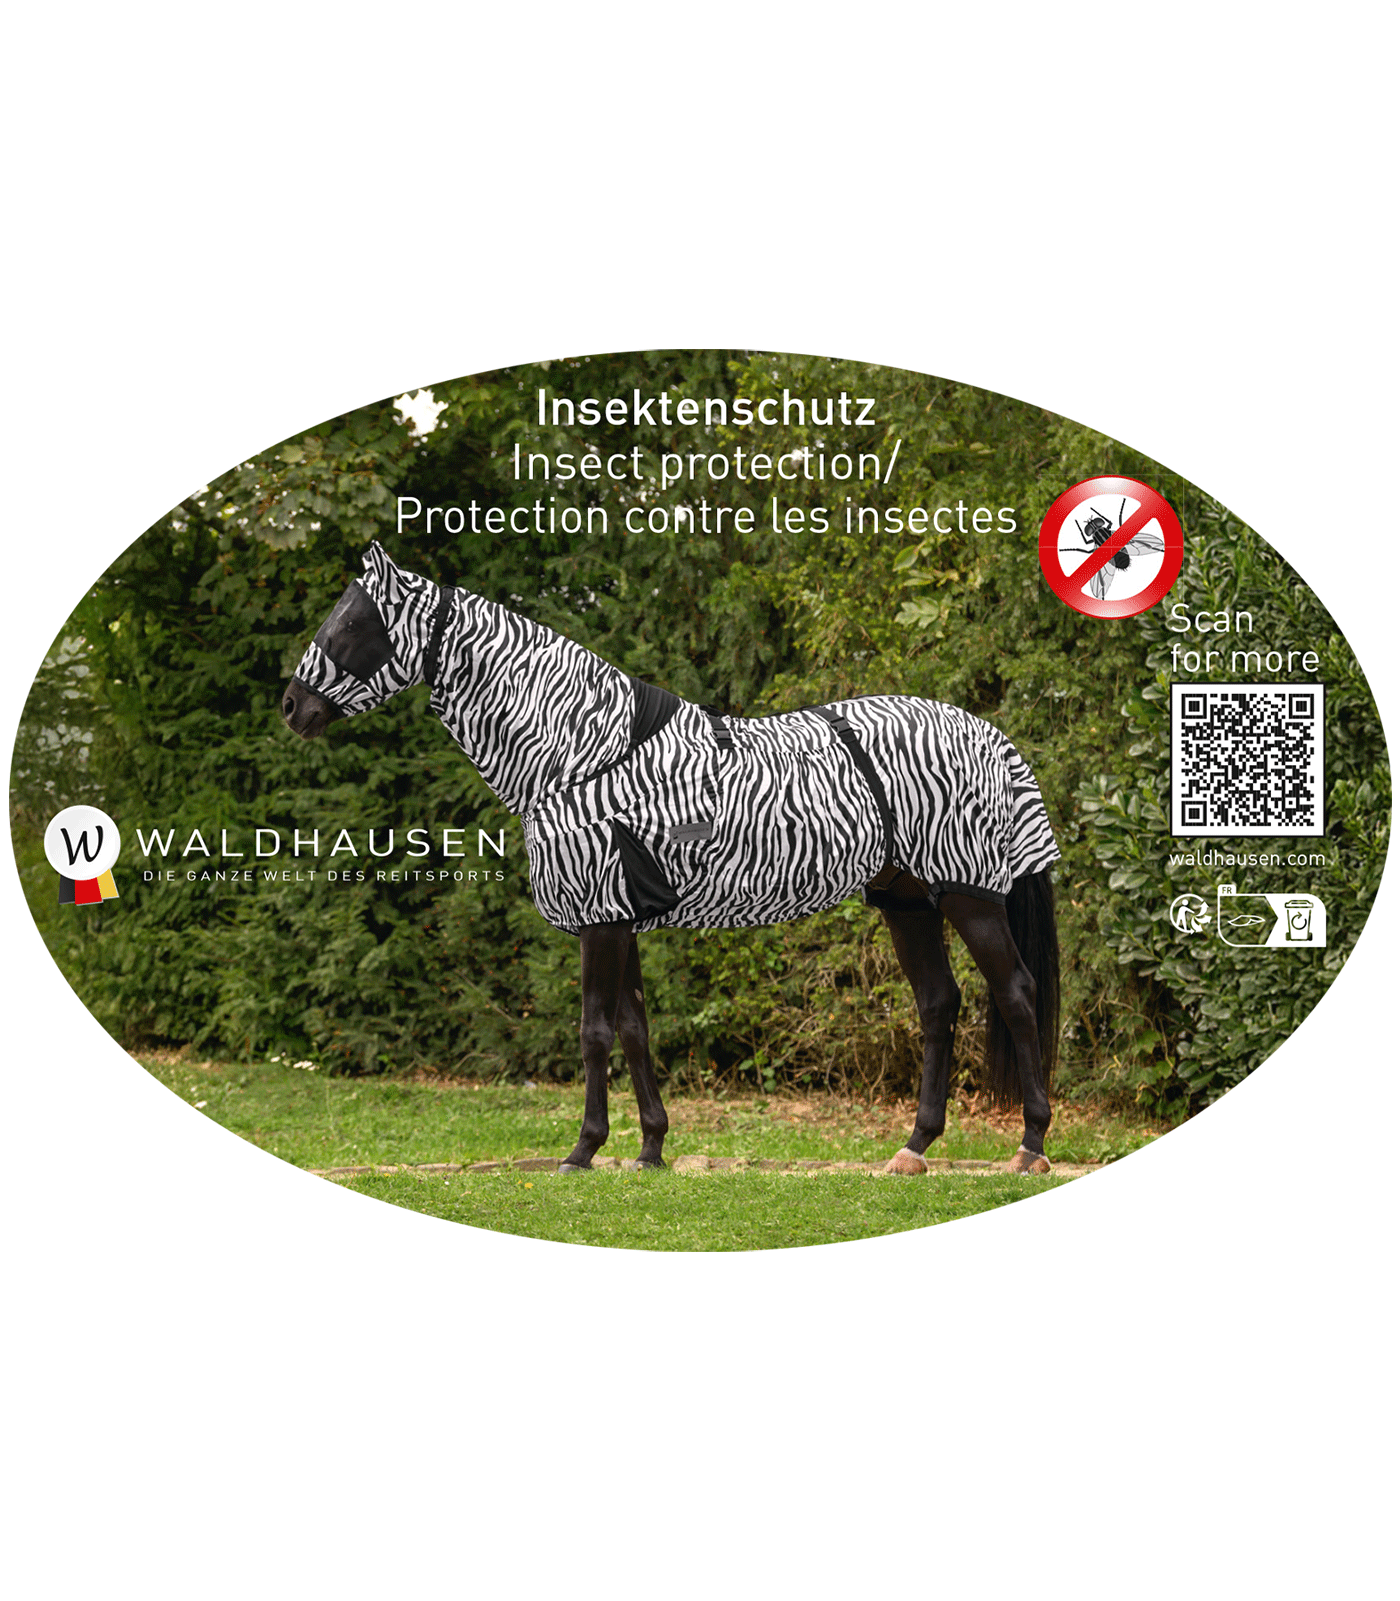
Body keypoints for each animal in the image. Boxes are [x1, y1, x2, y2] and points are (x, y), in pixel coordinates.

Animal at [283, 541, 1062, 1177]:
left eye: (351, 626)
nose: (292, 707)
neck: (580, 754)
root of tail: (989, 735)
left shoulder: (600, 919)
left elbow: (594, 1032)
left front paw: (583, 1150)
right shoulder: (618, 917)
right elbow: (633, 1031)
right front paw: (651, 1147)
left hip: (968, 896)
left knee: (1016, 994)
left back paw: (1030, 1144)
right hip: (906, 900)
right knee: (938, 1004)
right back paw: (915, 1147)